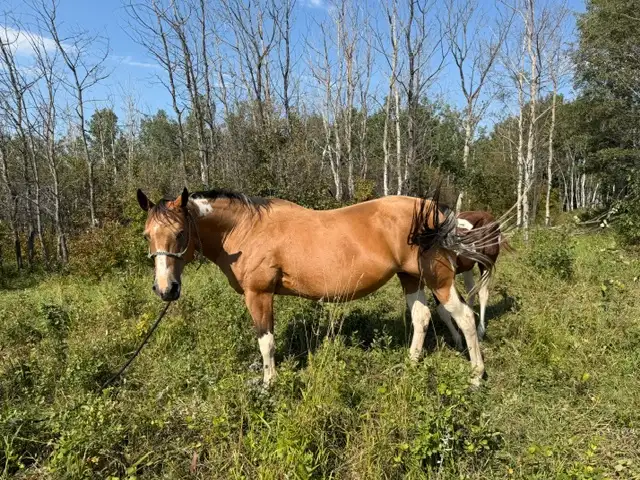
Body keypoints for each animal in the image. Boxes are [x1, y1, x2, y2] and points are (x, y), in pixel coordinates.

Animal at [136, 187, 495, 386]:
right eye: (147, 235)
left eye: (180, 233)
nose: (166, 289)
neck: (245, 229)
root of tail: (437, 212)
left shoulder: (259, 295)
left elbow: (266, 342)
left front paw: (268, 384)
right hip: (410, 278)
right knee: (422, 317)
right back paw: (411, 364)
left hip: (438, 279)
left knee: (464, 316)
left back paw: (476, 375)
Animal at [434, 210, 513, 349]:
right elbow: (442, 310)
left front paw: (459, 342)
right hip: (468, 267)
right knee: (471, 290)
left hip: (486, 263)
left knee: (482, 293)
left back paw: (480, 332)